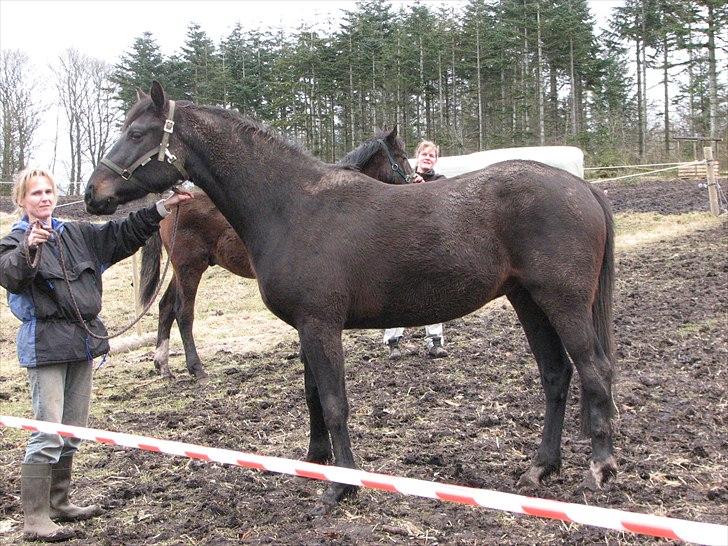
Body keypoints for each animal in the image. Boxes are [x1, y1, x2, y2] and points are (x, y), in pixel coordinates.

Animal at [140, 131, 416, 378]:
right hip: (190, 268)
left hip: (181, 270)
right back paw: (196, 367)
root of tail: (169, 204)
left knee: (165, 307)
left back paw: (162, 365)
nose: (415, 181)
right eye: (402, 156)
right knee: (183, 312)